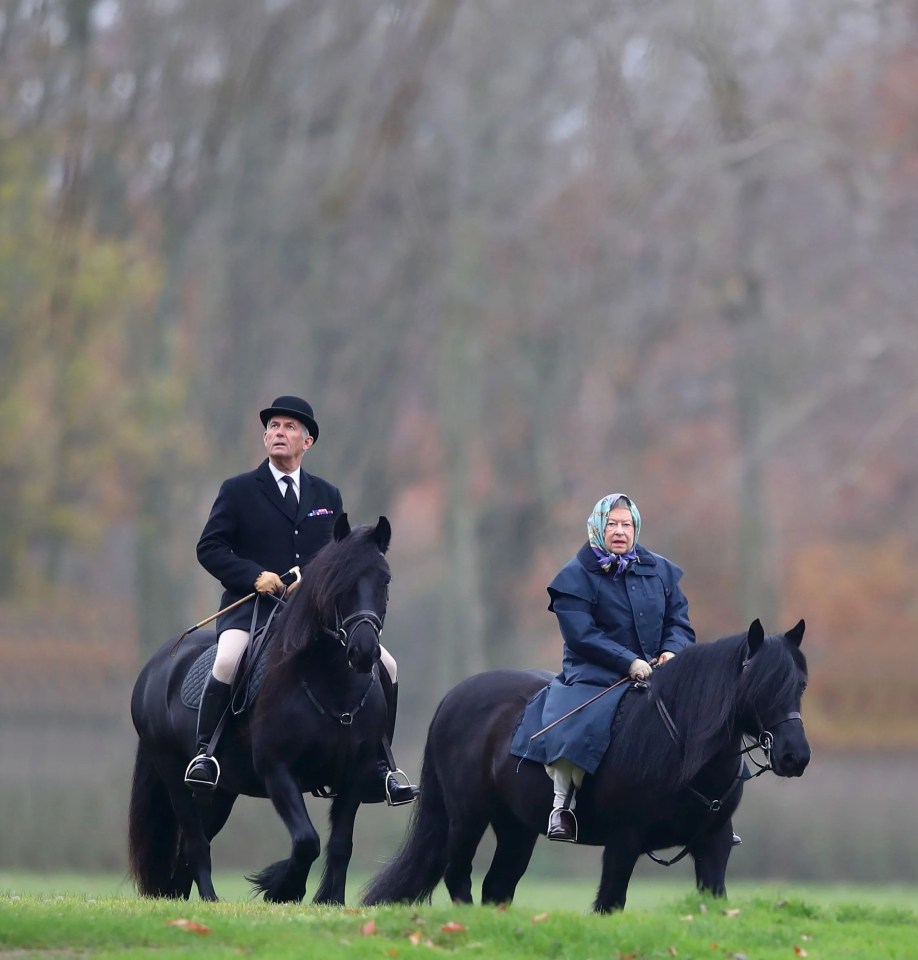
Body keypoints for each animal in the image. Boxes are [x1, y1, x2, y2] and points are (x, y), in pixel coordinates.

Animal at [128, 512, 392, 904]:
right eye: (337, 580)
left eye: (384, 579)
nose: (363, 652)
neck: (333, 686)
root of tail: (156, 665)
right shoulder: (277, 771)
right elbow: (307, 841)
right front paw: (283, 889)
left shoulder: (355, 773)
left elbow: (341, 844)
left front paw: (330, 901)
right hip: (175, 776)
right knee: (195, 843)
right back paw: (211, 901)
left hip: (221, 792)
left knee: (194, 846)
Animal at [362, 620, 808, 912]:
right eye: (760, 685)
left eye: (800, 684)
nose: (795, 756)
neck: (680, 747)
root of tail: (454, 697)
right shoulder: (624, 842)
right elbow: (610, 902)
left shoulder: (713, 845)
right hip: (468, 818)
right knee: (459, 877)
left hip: (516, 827)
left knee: (497, 887)